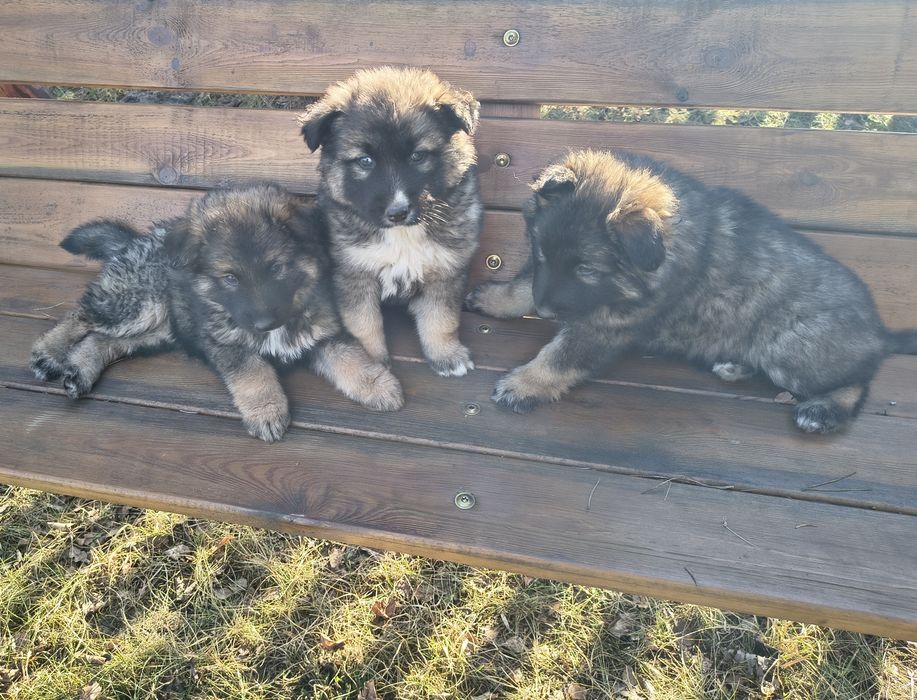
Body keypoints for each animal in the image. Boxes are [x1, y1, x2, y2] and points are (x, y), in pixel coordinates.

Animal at [30, 183, 403, 442]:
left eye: (277, 268)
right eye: (230, 278)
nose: (265, 323)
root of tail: (138, 240)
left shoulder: (323, 333)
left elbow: (352, 358)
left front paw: (379, 386)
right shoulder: (226, 344)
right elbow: (254, 372)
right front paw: (266, 411)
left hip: (162, 328)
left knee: (104, 340)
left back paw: (80, 370)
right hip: (139, 304)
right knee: (82, 315)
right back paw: (48, 353)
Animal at [298, 67, 483, 379]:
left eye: (418, 156)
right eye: (365, 161)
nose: (397, 212)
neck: (401, 234)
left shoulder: (445, 270)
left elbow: (441, 320)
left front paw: (445, 355)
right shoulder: (354, 274)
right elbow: (364, 323)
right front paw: (370, 362)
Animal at [467, 149, 917, 433]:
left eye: (586, 269)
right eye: (541, 252)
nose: (546, 313)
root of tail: (880, 333)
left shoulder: (607, 325)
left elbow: (560, 357)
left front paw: (525, 384)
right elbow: (524, 284)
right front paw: (496, 298)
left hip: (791, 345)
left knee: (858, 379)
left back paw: (824, 409)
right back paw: (735, 366)